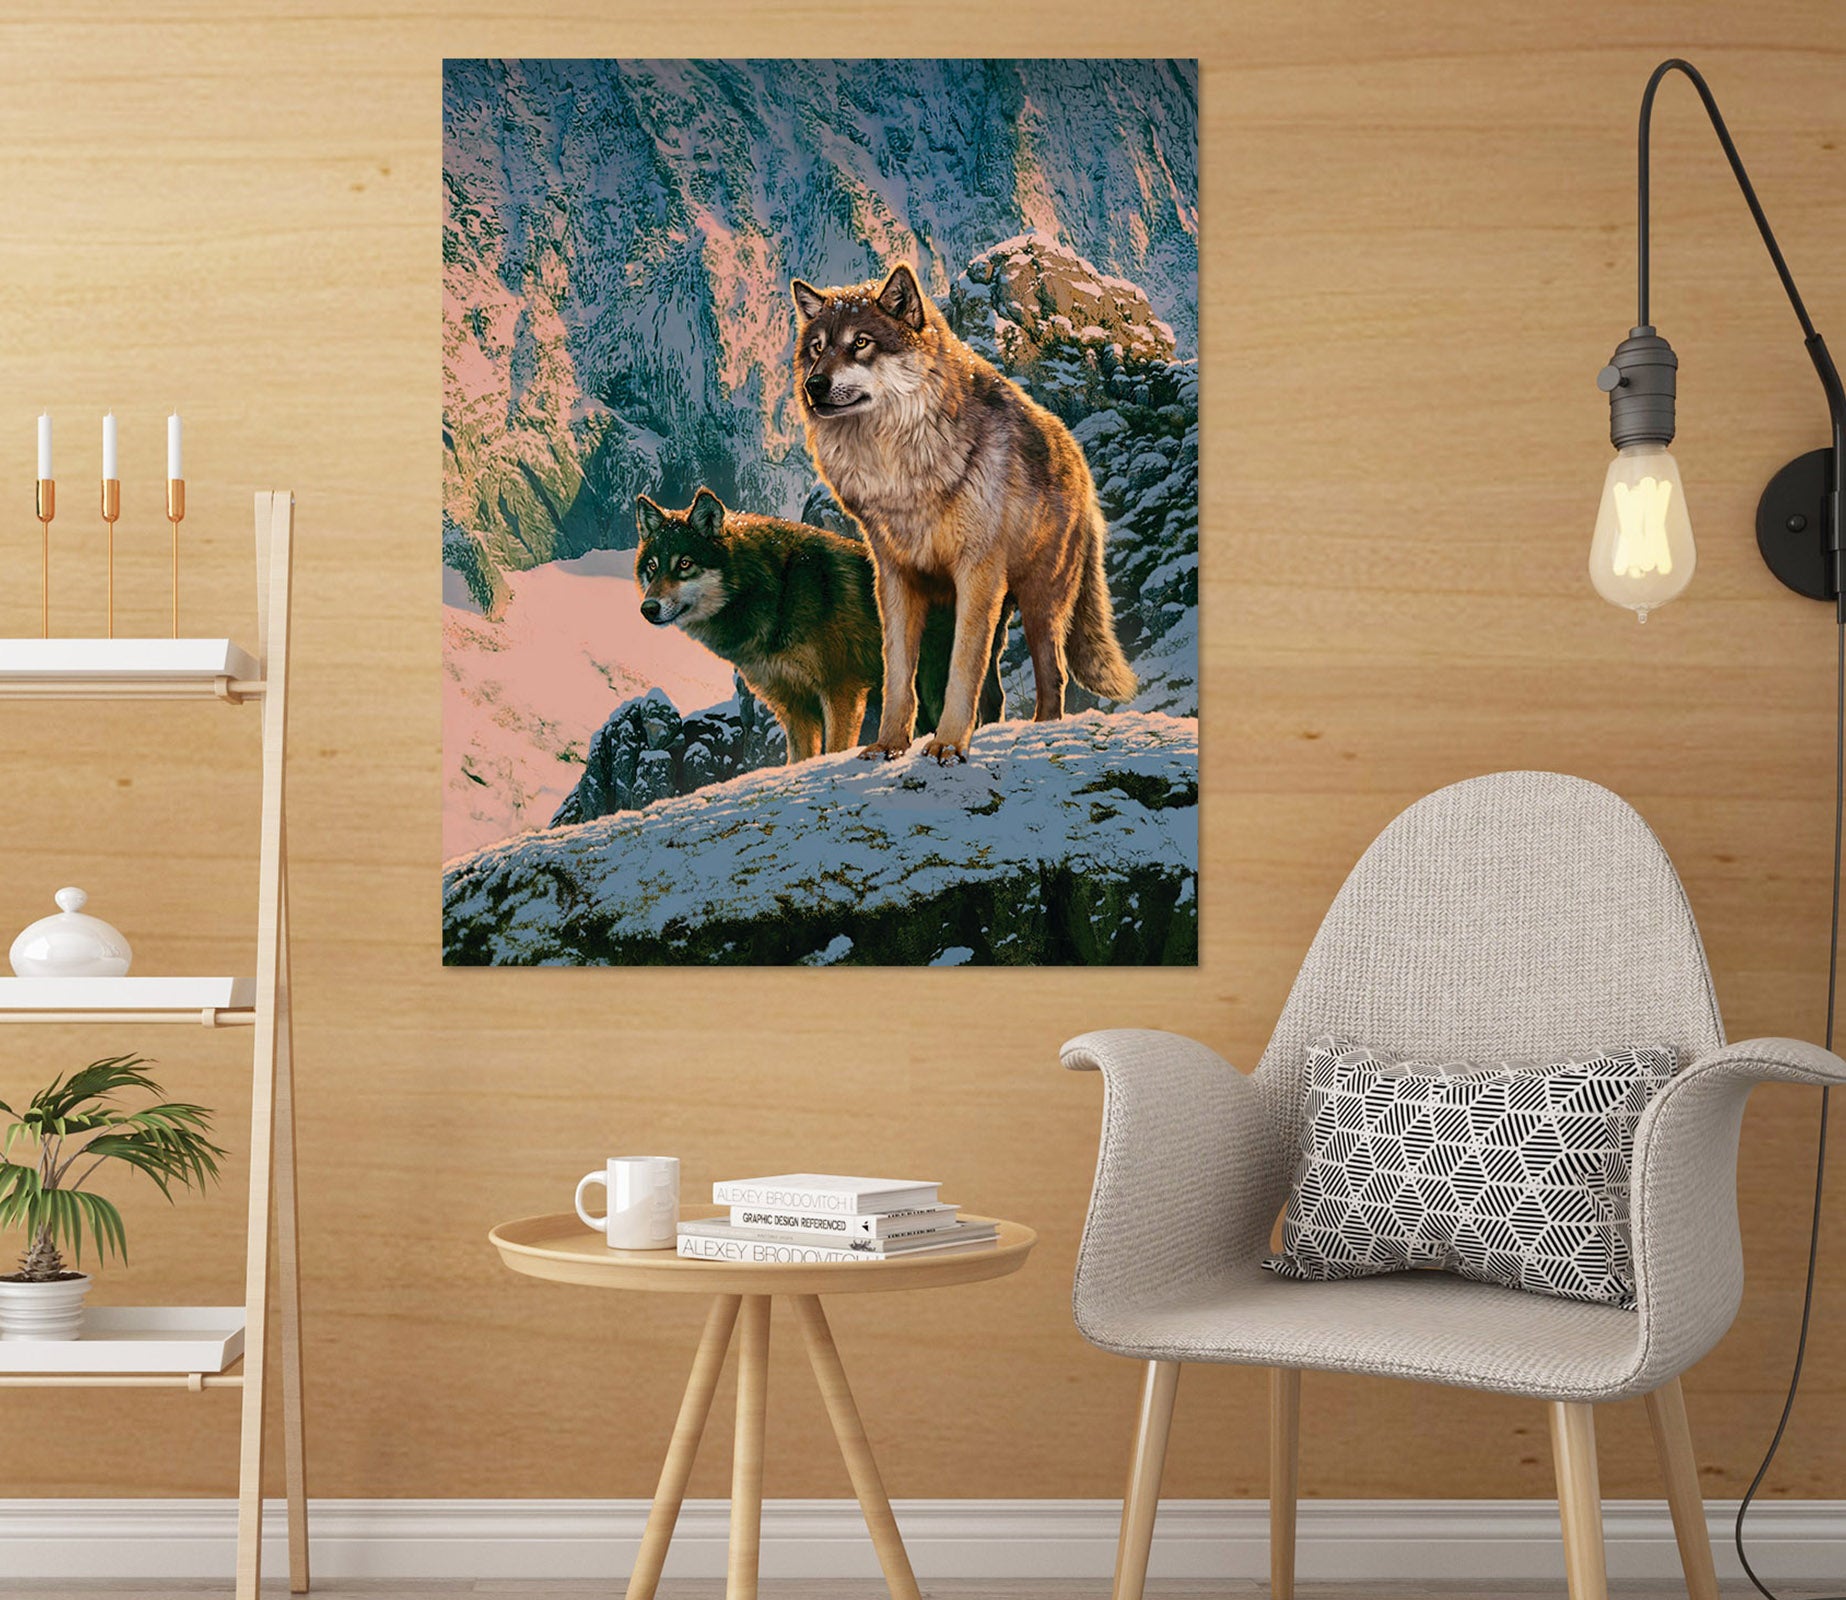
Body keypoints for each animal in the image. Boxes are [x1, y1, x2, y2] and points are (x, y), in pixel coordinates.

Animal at [633, 488, 1003, 763]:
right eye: (652, 567)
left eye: (684, 564)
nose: (648, 609)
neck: (778, 590)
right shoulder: (793, 706)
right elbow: (800, 759)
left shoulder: (841, 689)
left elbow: (834, 749)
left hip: (932, 681)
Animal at [790, 261, 1136, 764]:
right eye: (817, 348)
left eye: (861, 343)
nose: (813, 385)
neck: (900, 468)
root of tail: (1082, 467)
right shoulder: (895, 578)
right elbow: (899, 675)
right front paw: (889, 745)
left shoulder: (977, 573)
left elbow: (960, 670)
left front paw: (950, 744)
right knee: (996, 691)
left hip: (1039, 604)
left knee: (1053, 675)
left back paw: (1041, 730)